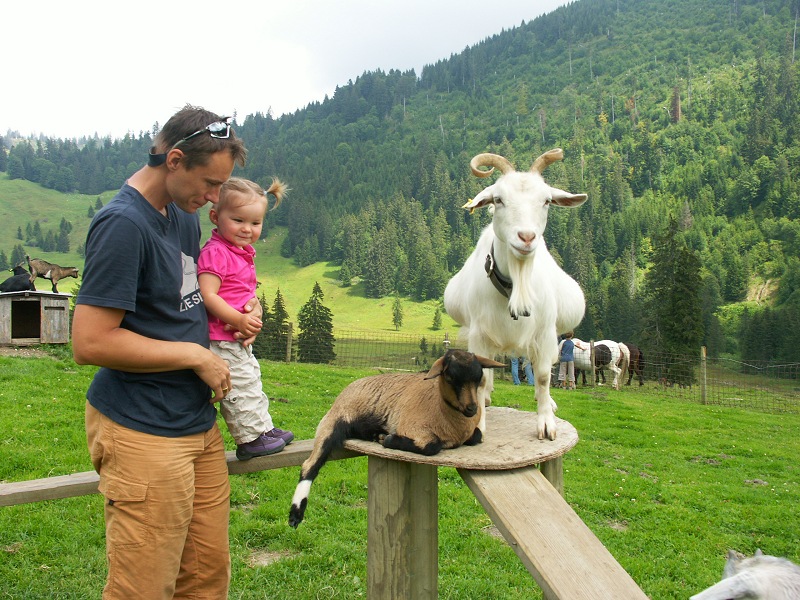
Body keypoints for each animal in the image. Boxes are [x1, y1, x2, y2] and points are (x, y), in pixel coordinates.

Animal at [444, 149, 588, 440]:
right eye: (498, 199)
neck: (515, 284)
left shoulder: (544, 333)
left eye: (547, 201)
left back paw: (548, 402)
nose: (526, 237)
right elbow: (481, 378)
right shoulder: (479, 333)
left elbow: (543, 376)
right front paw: (478, 424)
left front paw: (546, 424)